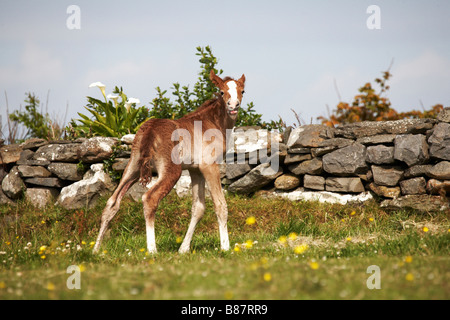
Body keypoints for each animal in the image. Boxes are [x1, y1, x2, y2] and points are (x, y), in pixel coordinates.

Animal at [92, 70, 246, 255]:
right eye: (222, 92)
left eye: (242, 91)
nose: (233, 105)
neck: (213, 122)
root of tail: (150, 129)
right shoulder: (209, 165)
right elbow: (220, 205)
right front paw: (226, 247)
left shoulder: (195, 169)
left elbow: (198, 207)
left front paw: (184, 249)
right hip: (171, 170)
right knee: (149, 198)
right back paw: (152, 249)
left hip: (133, 166)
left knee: (112, 203)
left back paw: (95, 250)